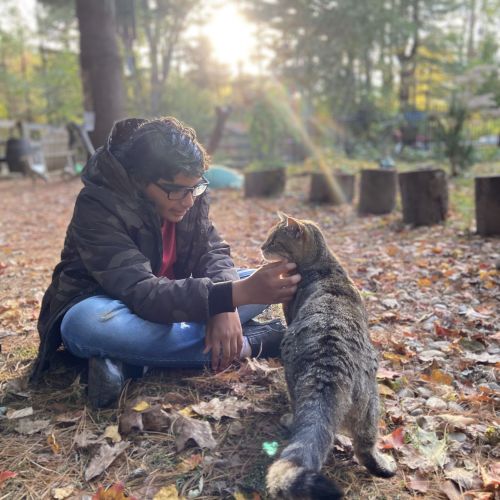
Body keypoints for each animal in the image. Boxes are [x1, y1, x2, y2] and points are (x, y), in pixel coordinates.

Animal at [262, 213, 394, 498]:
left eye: (274, 240)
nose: (261, 247)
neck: (323, 264)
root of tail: (330, 367)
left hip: (296, 382)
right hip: (371, 406)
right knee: (365, 447)